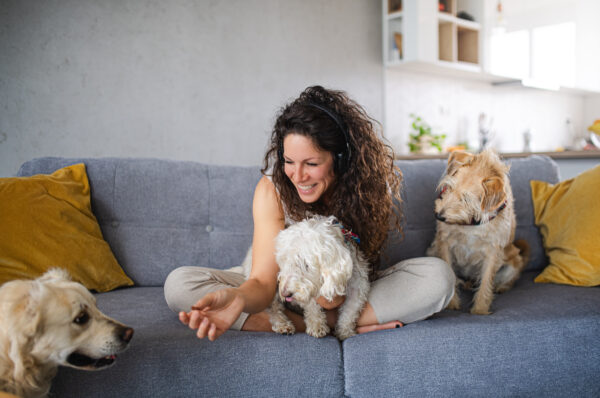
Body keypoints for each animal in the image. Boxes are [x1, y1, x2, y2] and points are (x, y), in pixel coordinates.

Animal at [426, 149, 528, 314]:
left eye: (466, 199)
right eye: (449, 188)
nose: (439, 216)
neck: (472, 222)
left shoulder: (493, 252)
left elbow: (486, 282)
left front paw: (480, 309)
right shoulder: (444, 242)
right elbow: (449, 271)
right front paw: (452, 304)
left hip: (514, 262)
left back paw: (500, 287)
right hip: (432, 250)